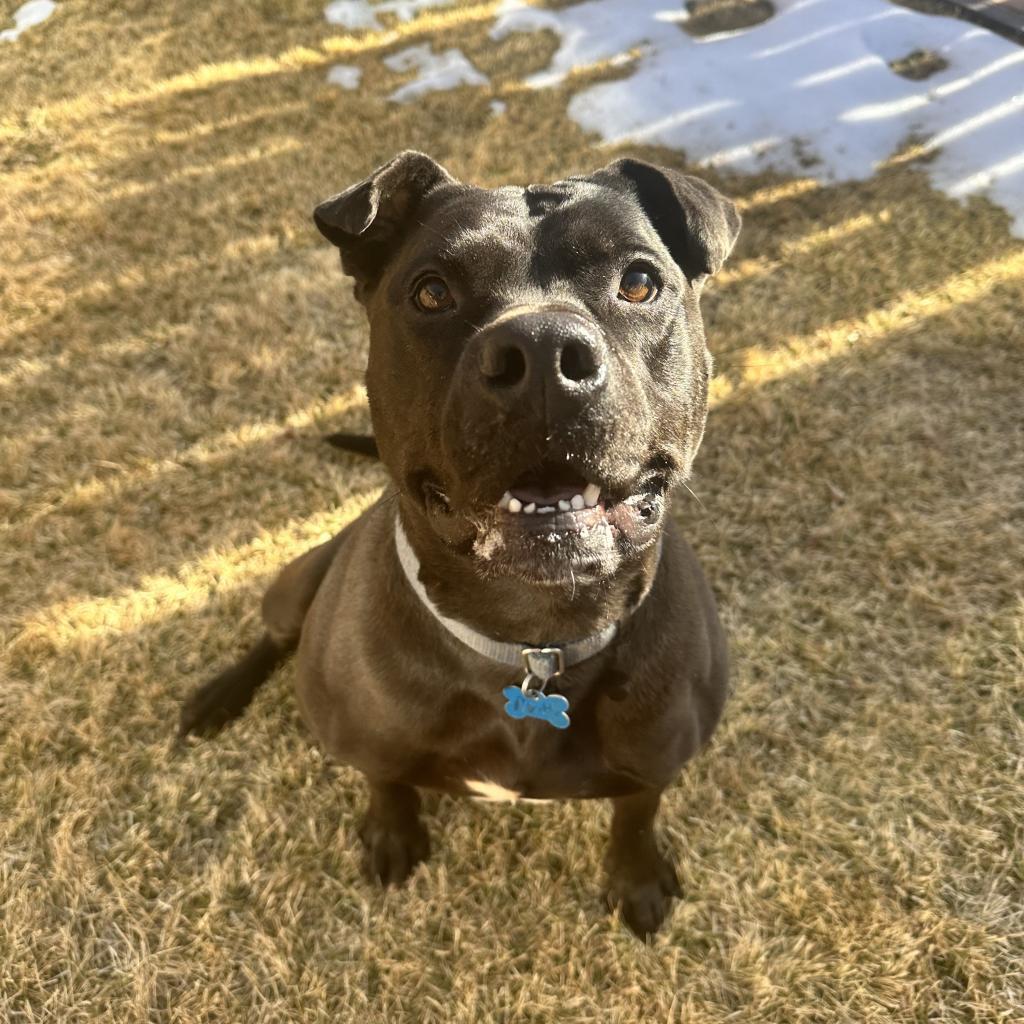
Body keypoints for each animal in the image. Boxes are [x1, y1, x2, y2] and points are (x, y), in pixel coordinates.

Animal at [180, 148, 741, 937]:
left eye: (638, 281)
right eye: (431, 293)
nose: (542, 349)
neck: (533, 639)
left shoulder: (654, 761)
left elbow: (636, 814)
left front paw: (635, 878)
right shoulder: (365, 738)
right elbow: (385, 778)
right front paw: (391, 832)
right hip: (297, 579)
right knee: (272, 635)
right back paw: (216, 698)